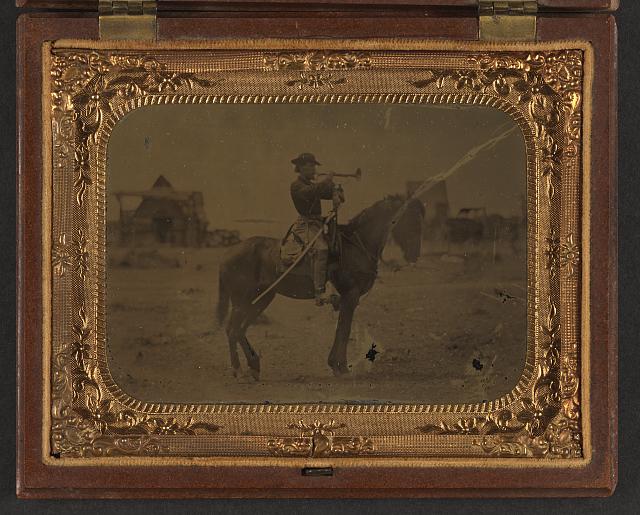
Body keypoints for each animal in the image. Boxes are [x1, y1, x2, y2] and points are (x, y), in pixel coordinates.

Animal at [215, 196, 424, 380]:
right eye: (411, 221)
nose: (414, 255)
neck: (358, 243)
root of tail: (227, 254)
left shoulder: (347, 299)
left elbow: (342, 328)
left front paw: (336, 365)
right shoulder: (350, 295)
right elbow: (344, 330)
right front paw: (341, 367)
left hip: (261, 299)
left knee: (239, 330)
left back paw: (254, 365)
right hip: (242, 301)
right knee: (233, 330)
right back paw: (239, 371)